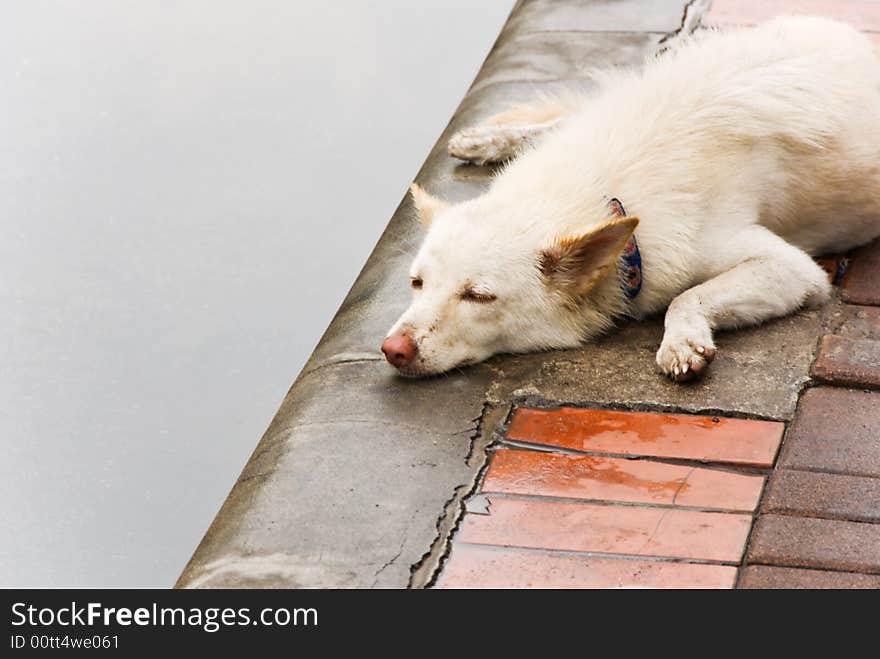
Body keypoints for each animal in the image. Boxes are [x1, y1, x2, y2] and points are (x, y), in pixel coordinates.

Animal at [382, 16, 880, 382]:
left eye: (478, 296)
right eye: (417, 283)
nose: (393, 350)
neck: (598, 188)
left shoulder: (793, 270)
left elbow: (688, 297)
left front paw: (681, 340)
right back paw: (490, 140)